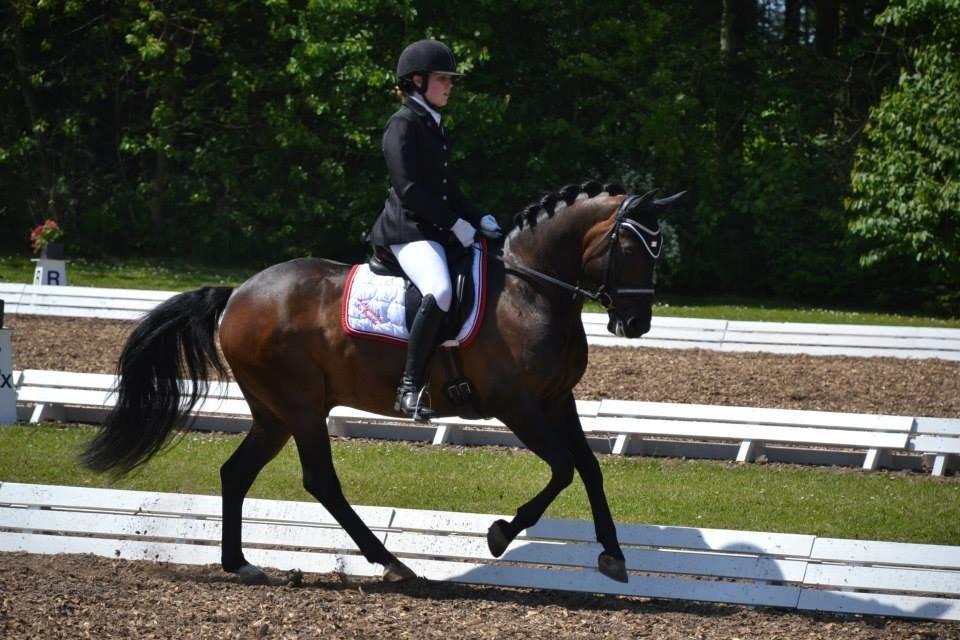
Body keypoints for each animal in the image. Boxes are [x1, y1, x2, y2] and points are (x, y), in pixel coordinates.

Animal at [80, 180, 684, 585]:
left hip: (275, 413)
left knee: (237, 472)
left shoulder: (557, 398)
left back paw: (241, 563)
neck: (531, 289)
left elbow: (589, 467)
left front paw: (613, 555)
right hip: (300, 406)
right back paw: (391, 562)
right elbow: (561, 468)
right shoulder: (514, 403)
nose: (635, 324)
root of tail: (238, 294)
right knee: (320, 481)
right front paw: (500, 534)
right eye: (631, 248)